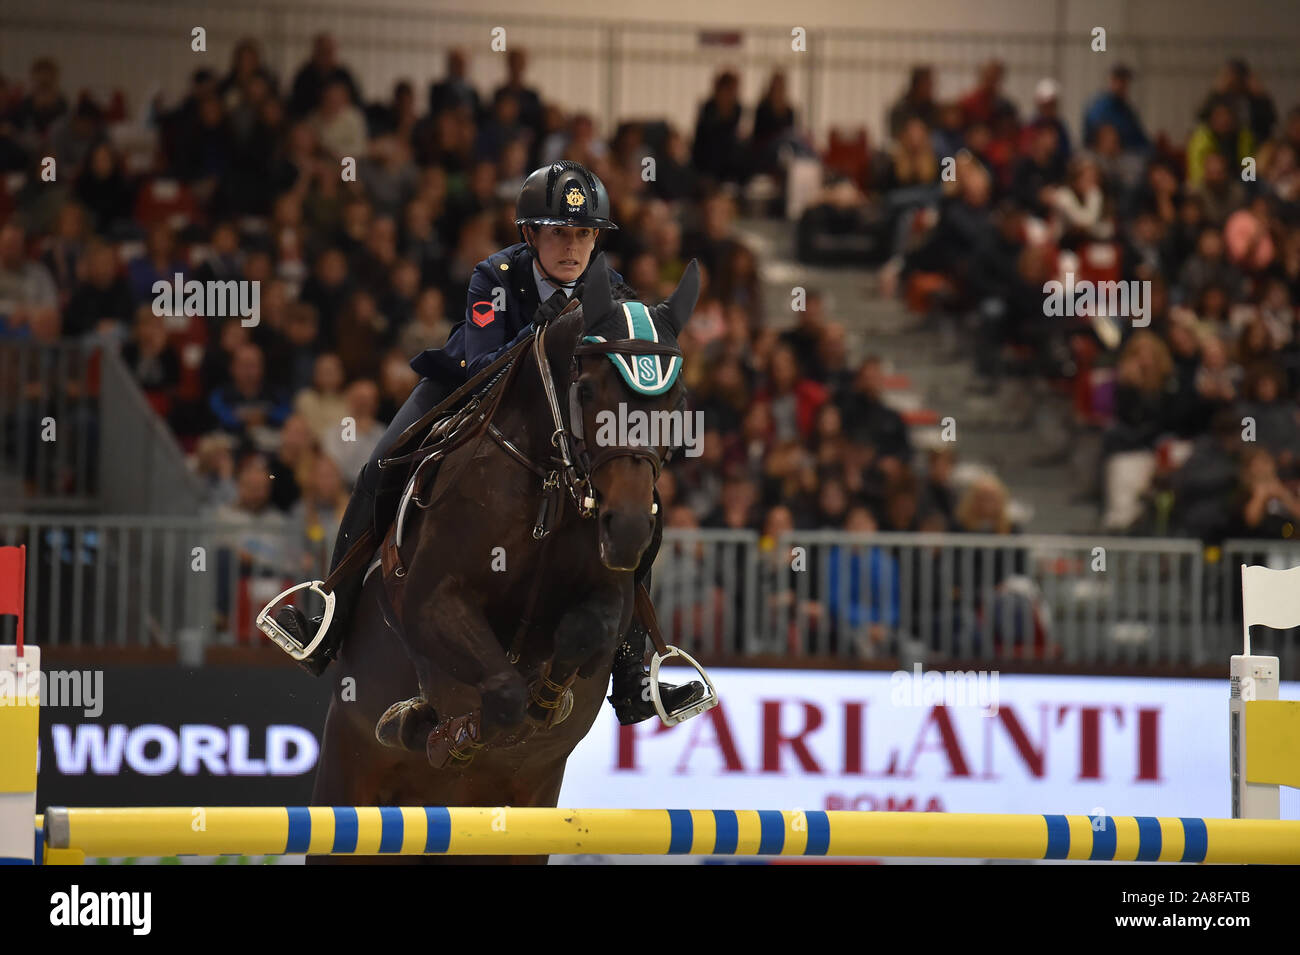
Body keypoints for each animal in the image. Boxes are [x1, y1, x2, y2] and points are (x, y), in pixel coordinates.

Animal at [308, 257, 702, 862]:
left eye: (677, 404)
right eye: (586, 389)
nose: (629, 529)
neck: (549, 484)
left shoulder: (607, 598)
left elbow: (581, 637)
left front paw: (547, 703)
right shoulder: (430, 602)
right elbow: (499, 693)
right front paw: (430, 727)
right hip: (346, 780)